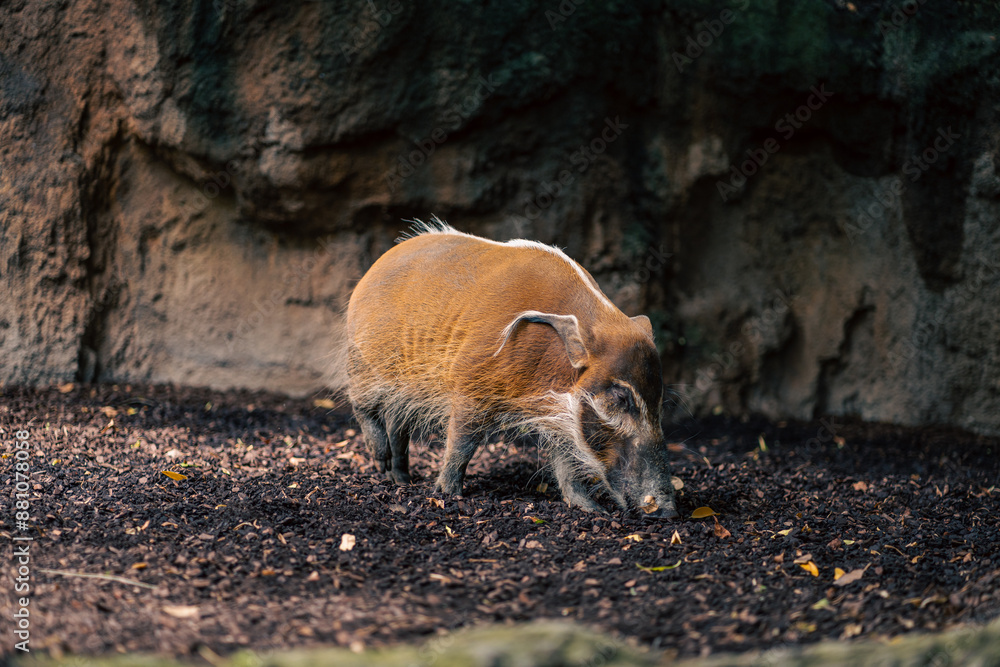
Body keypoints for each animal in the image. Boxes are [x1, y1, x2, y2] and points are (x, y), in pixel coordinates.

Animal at [344, 217, 677, 518]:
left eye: (659, 401)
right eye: (621, 397)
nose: (667, 512)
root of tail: (376, 266)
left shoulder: (561, 413)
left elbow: (566, 462)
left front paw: (592, 510)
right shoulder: (470, 386)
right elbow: (461, 444)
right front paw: (448, 494)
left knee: (397, 423)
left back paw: (399, 479)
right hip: (365, 362)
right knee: (361, 404)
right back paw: (381, 462)